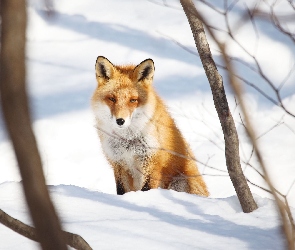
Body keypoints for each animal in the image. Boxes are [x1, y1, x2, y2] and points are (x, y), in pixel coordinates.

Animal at [91, 56, 209, 197]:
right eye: (112, 99)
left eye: (133, 100)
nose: (120, 121)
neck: (128, 140)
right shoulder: (119, 163)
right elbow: (121, 191)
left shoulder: (151, 162)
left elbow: (147, 189)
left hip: (180, 181)